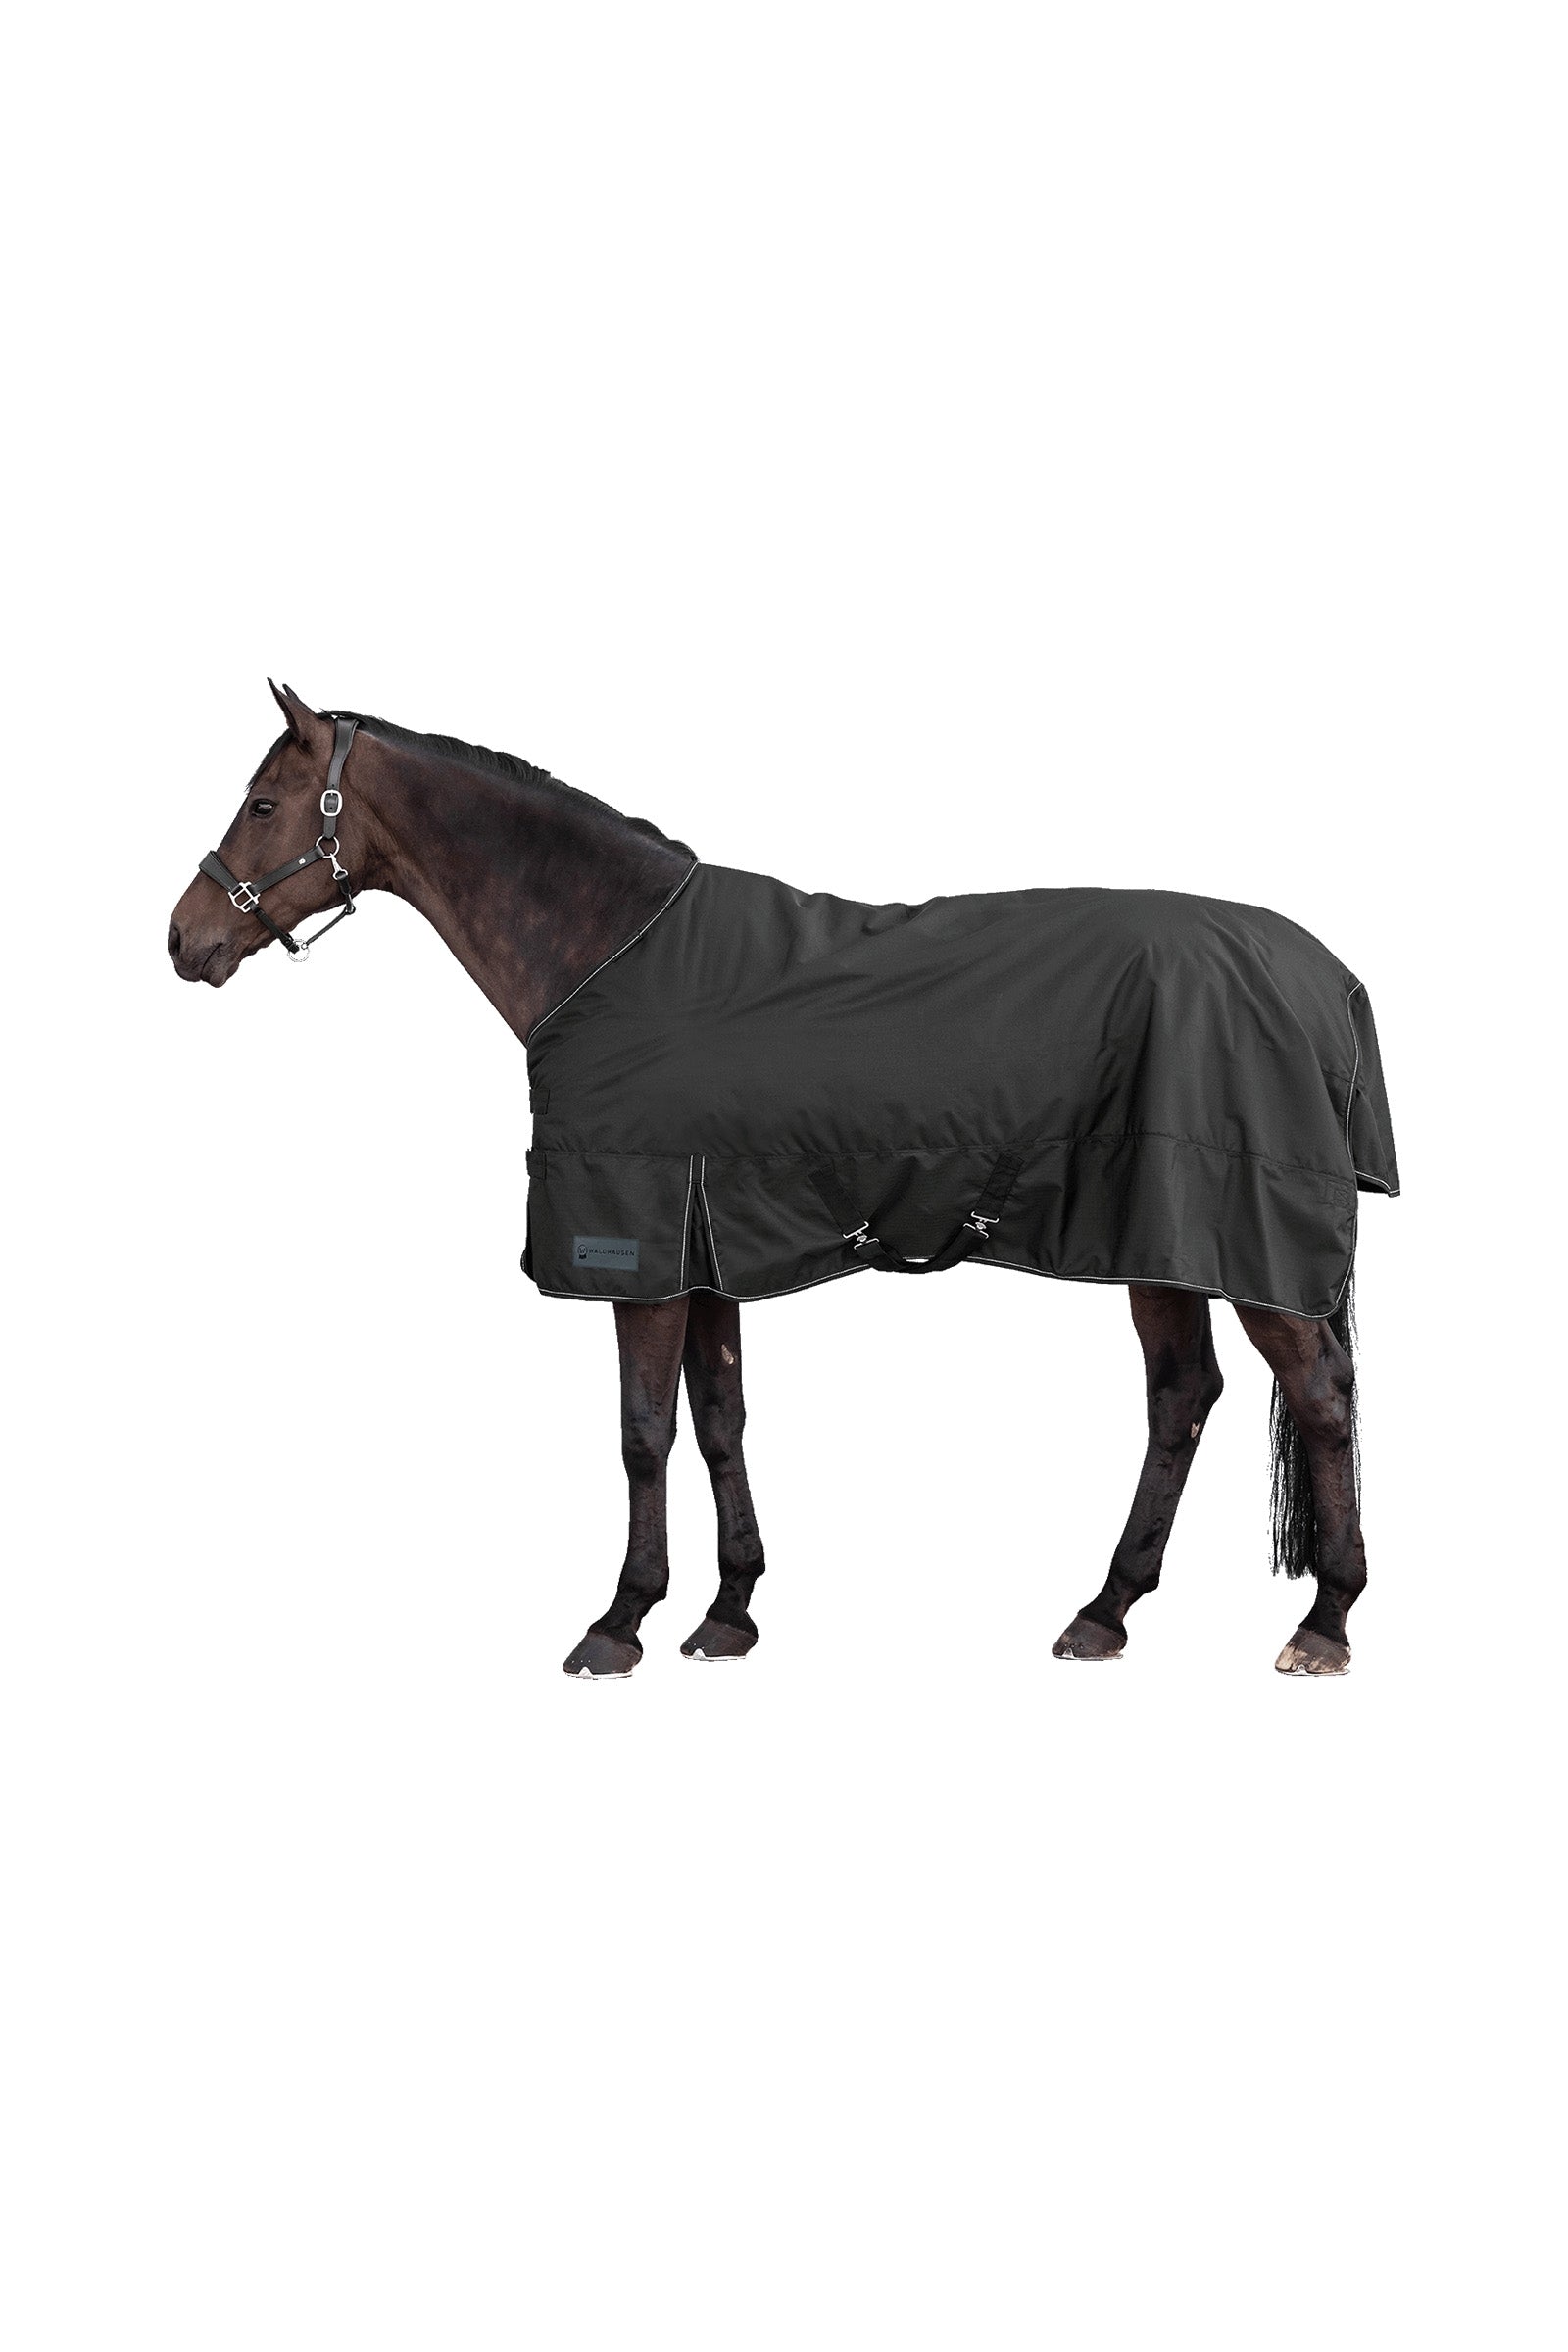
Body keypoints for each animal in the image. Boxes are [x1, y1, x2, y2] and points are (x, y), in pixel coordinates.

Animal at [169, 682, 1397, 1680]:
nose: (184, 940)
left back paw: (1324, 1623)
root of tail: (1327, 978)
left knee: (1319, 1396)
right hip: (1160, 1237)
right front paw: (728, 1612)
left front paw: (619, 1622)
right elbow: (719, 1421)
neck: (609, 953)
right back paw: (1104, 1612)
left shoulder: (639, 1245)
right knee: (1181, 1396)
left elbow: (642, 1435)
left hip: (1237, 1241)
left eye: (265, 806)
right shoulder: (707, 1242)